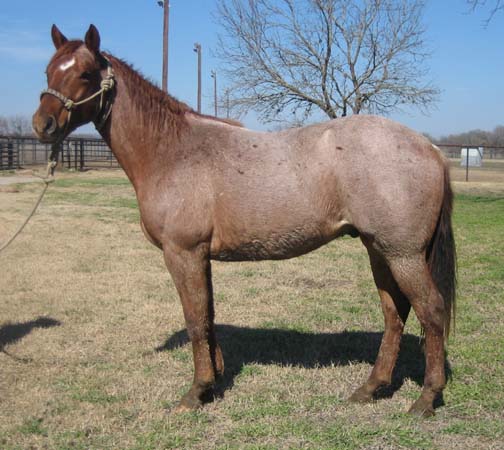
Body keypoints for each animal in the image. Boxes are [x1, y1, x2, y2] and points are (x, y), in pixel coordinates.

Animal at [32, 25, 456, 418]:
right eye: (49, 70)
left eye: (86, 73)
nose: (43, 124)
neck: (172, 151)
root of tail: (430, 148)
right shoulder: (199, 256)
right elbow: (207, 315)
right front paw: (214, 381)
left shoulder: (182, 252)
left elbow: (194, 318)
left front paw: (196, 393)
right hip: (379, 249)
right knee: (395, 313)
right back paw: (370, 389)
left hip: (402, 254)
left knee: (431, 311)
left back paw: (425, 399)